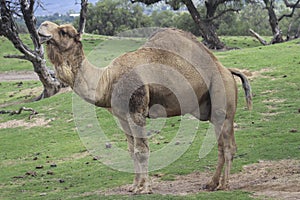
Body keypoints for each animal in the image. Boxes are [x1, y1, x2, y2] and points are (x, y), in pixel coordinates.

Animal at [38, 21, 253, 194]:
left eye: (64, 31)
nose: (42, 26)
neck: (106, 80)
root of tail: (227, 70)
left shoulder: (137, 110)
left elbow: (142, 151)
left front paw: (145, 188)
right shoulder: (122, 116)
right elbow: (132, 150)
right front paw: (134, 186)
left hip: (221, 99)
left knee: (227, 145)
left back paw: (224, 184)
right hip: (210, 108)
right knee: (222, 145)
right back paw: (211, 183)